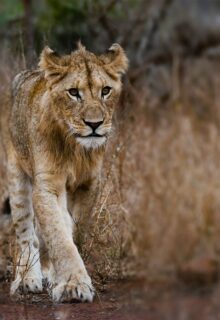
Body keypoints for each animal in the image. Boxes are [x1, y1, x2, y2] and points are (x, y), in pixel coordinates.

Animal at [7, 43, 128, 302]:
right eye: (73, 92)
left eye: (106, 90)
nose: (94, 124)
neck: (76, 149)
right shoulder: (48, 185)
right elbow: (59, 235)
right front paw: (73, 285)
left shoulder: (89, 184)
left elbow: (73, 229)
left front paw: (61, 278)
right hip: (16, 175)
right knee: (26, 234)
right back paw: (26, 278)